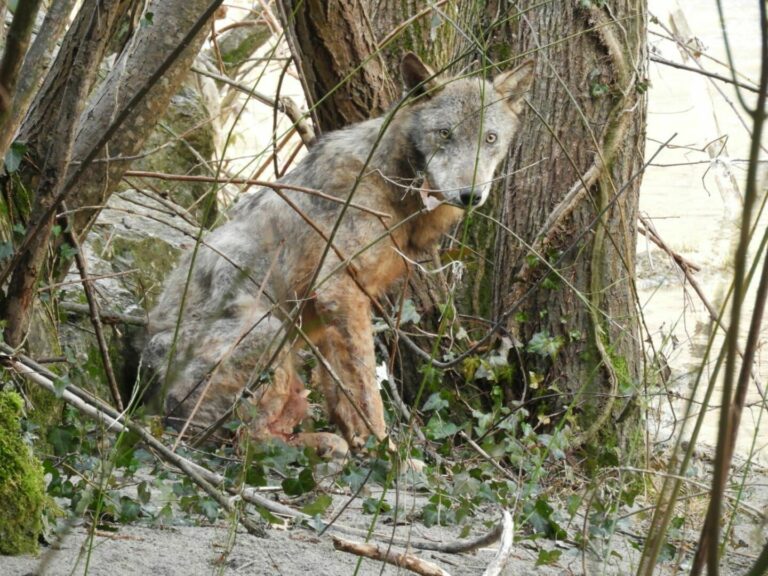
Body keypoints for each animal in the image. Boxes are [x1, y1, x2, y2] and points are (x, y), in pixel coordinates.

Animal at [142, 53, 534, 457]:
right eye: (444, 134)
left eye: (490, 138)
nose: (471, 195)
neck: (396, 187)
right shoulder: (340, 290)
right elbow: (366, 390)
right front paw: (387, 453)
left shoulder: (337, 307)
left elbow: (343, 393)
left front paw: (362, 444)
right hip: (269, 332)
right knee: (243, 441)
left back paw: (327, 445)